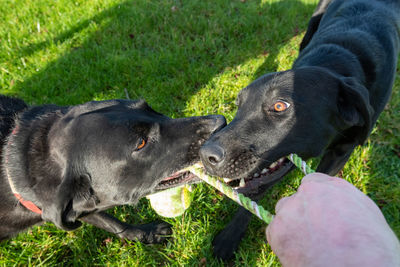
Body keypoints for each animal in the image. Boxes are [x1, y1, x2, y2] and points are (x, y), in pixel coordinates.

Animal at [0, 96, 225, 243]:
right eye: (141, 143)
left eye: (150, 109)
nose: (221, 121)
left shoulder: (71, 208)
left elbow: (112, 222)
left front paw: (146, 233)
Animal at [200, 0, 400, 260]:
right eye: (239, 104)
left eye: (279, 106)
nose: (206, 155)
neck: (339, 58)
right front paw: (229, 238)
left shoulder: (342, 152)